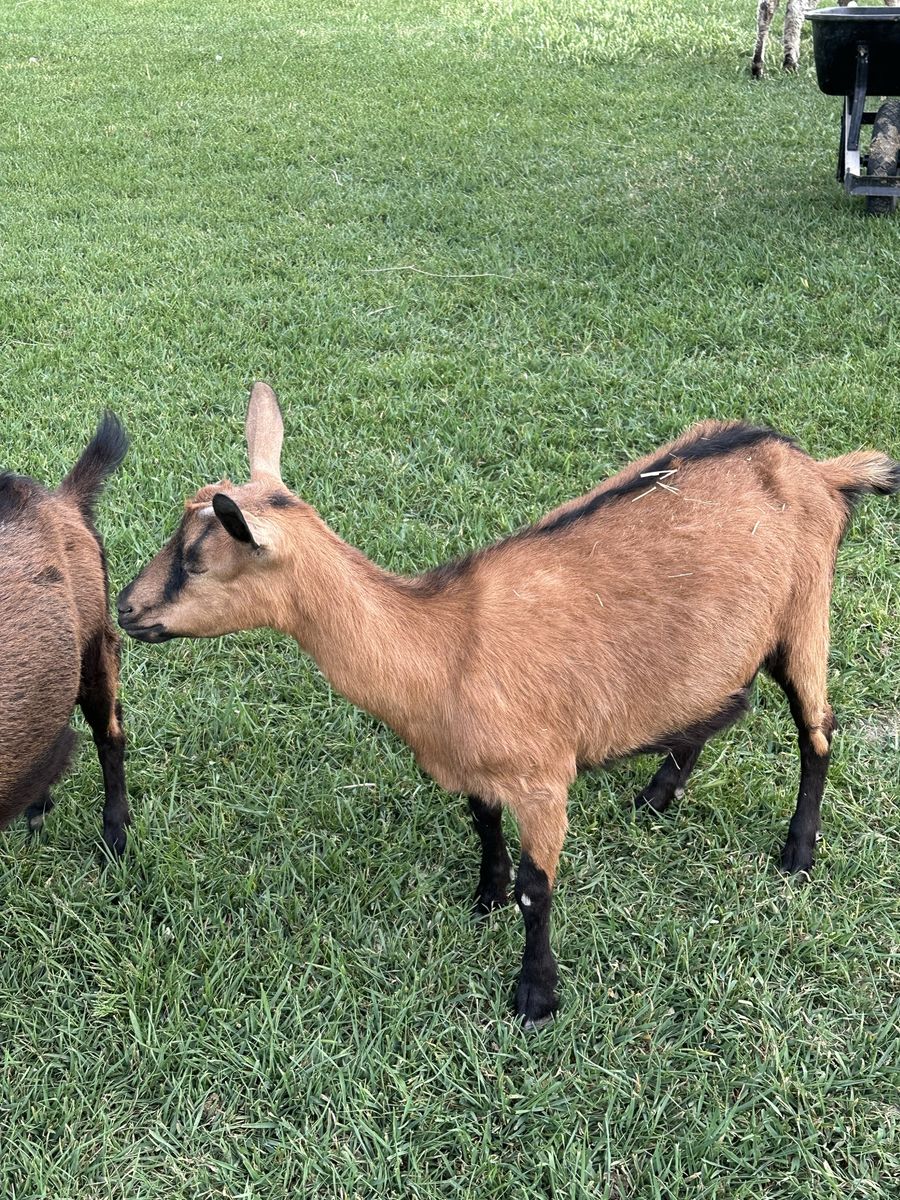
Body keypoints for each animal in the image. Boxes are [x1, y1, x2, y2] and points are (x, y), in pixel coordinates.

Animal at [117, 383, 899, 1025]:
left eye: (195, 559)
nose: (124, 610)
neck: (443, 647)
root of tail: (819, 471)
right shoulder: (473, 765)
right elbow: (482, 827)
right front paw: (483, 899)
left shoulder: (544, 777)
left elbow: (538, 888)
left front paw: (535, 994)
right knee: (716, 709)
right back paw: (655, 797)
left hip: (805, 612)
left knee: (817, 730)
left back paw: (797, 851)